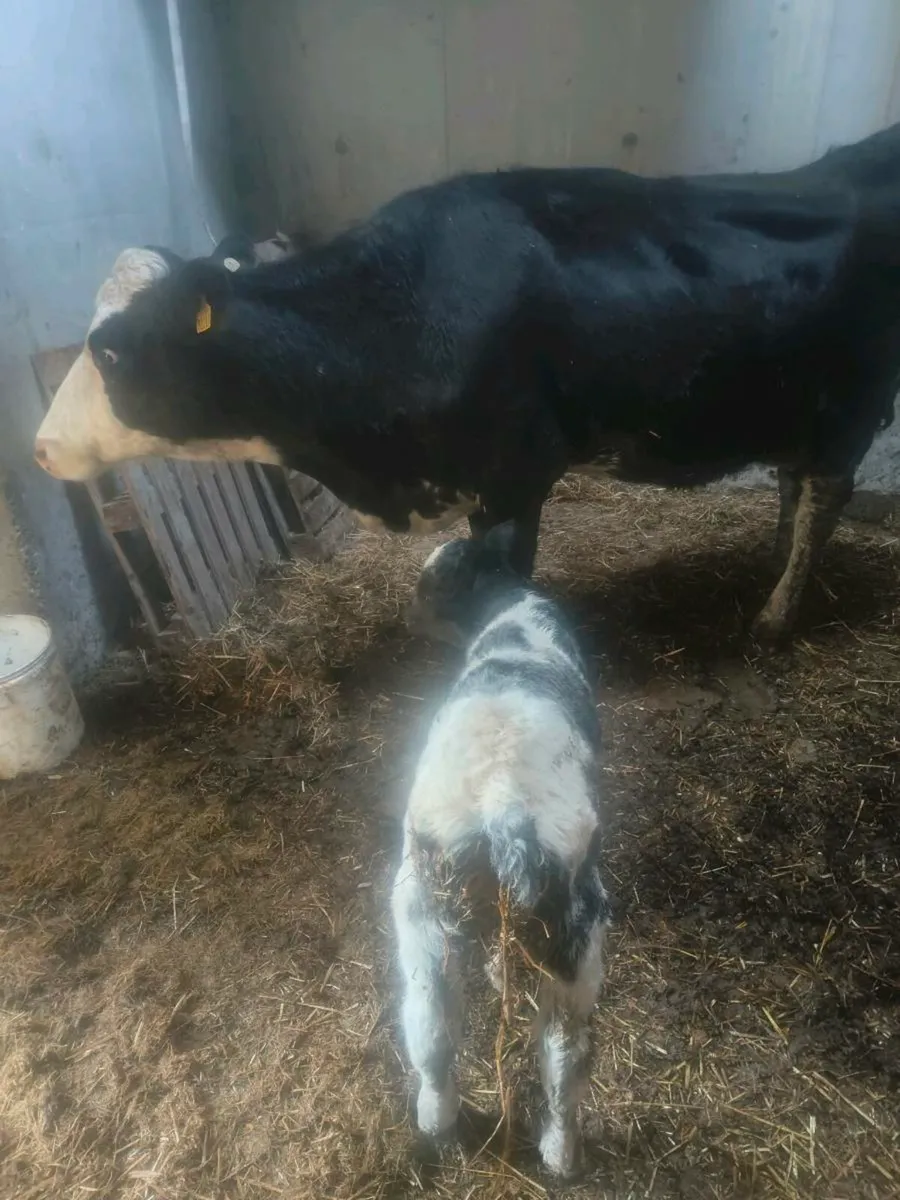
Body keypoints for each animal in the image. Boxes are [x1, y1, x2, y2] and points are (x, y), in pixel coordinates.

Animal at [33, 122, 900, 641]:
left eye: (107, 351)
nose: (39, 447)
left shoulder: (517, 471)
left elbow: (499, 576)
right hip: (796, 407)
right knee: (794, 486)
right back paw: (769, 565)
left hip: (850, 408)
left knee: (825, 499)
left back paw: (775, 616)